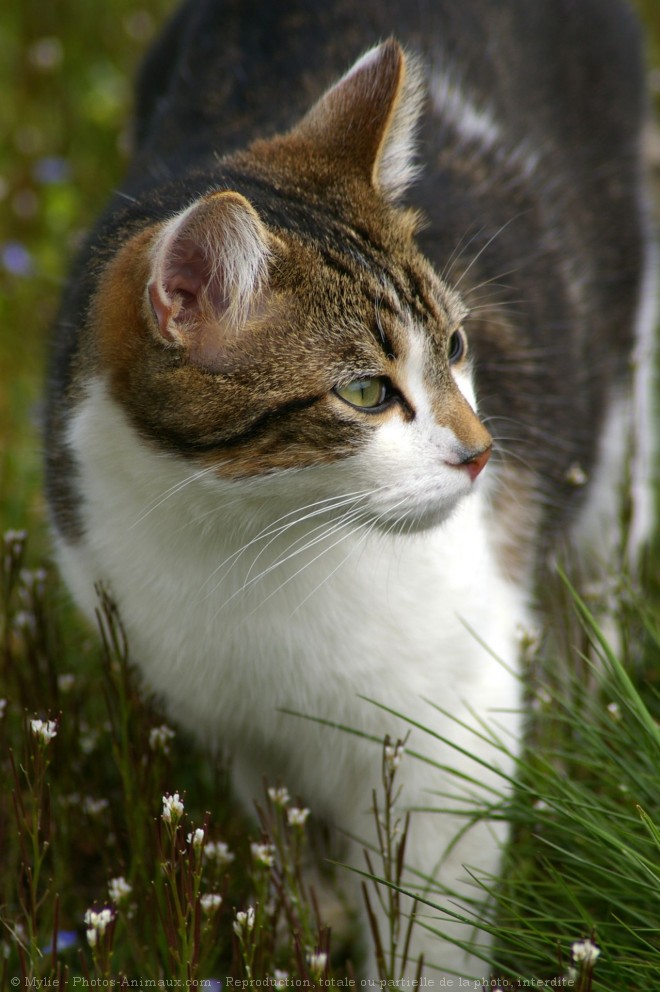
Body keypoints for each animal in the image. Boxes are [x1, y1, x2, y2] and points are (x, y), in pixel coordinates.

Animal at [45, 0, 656, 980]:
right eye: (366, 392)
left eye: (456, 345)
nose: (482, 453)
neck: (249, 543)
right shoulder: (222, 714)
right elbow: (276, 827)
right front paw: (303, 915)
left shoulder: (453, 736)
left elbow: (430, 929)